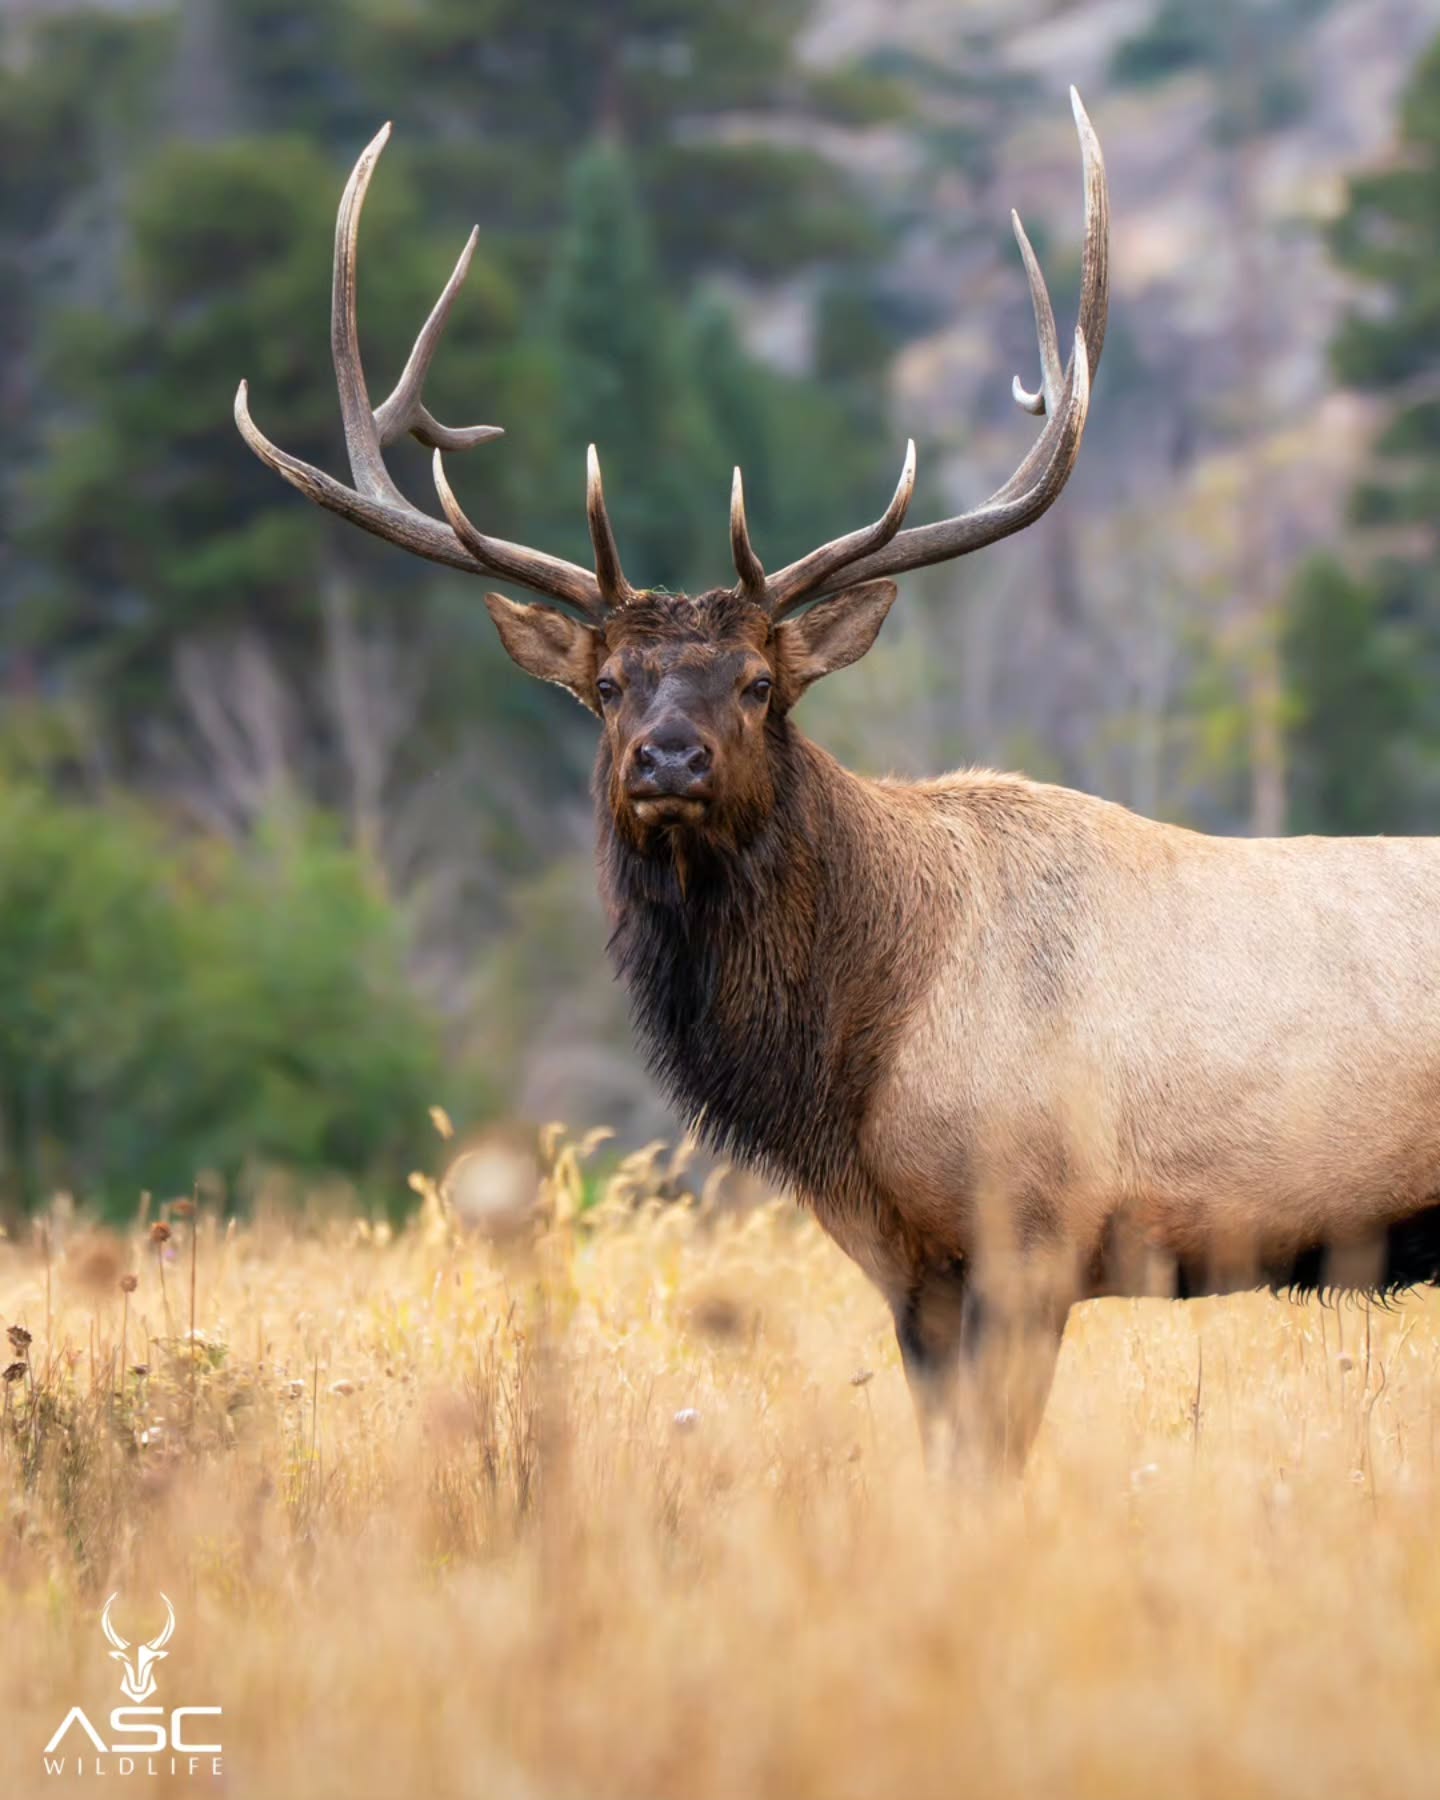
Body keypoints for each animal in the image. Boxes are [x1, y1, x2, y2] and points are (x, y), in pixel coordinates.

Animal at [235, 94, 1440, 1470]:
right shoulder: (910, 1269)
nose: (669, 758)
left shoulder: (1033, 1228)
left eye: (763, 682)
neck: (852, 1052)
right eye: (609, 685)